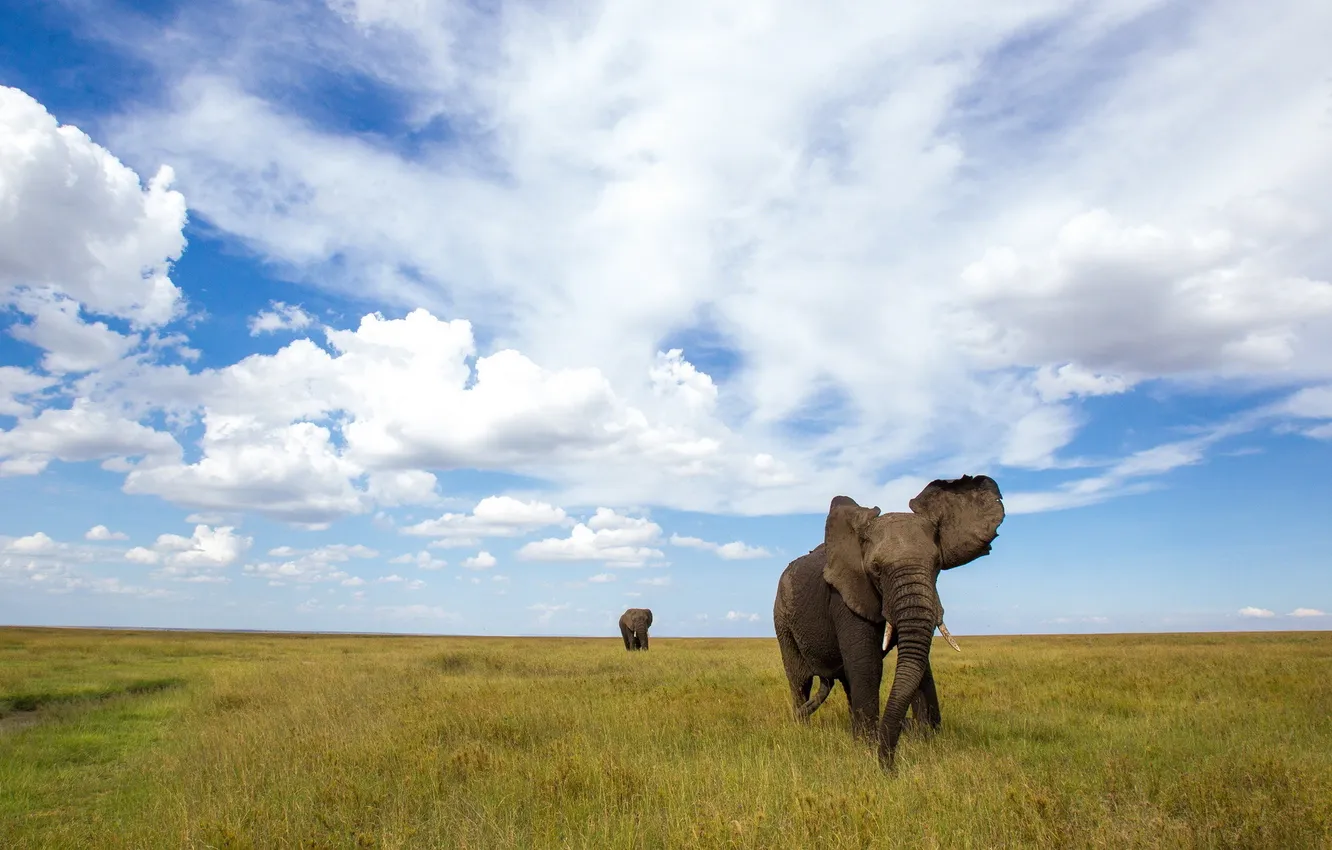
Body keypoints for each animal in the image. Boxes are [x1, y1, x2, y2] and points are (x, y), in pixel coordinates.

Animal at [773, 474, 1004, 771]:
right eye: (876, 570)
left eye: (937, 565)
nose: (889, 768)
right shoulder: (846, 592)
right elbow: (867, 663)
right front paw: (869, 746)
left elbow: (917, 661)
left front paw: (926, 738)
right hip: (782, 616)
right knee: (800, 679)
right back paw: (804, 728)